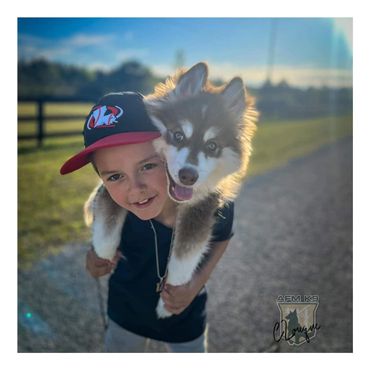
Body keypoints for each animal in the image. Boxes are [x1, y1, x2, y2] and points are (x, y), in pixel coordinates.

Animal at [84, 62, 258, 318]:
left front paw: (169, 304)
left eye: (212, 146)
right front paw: (101, 261)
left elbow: (183, 258)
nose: (188, 176)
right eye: (178, 135)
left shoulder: (201, 207)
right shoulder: (112, 188)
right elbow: (106, 228)